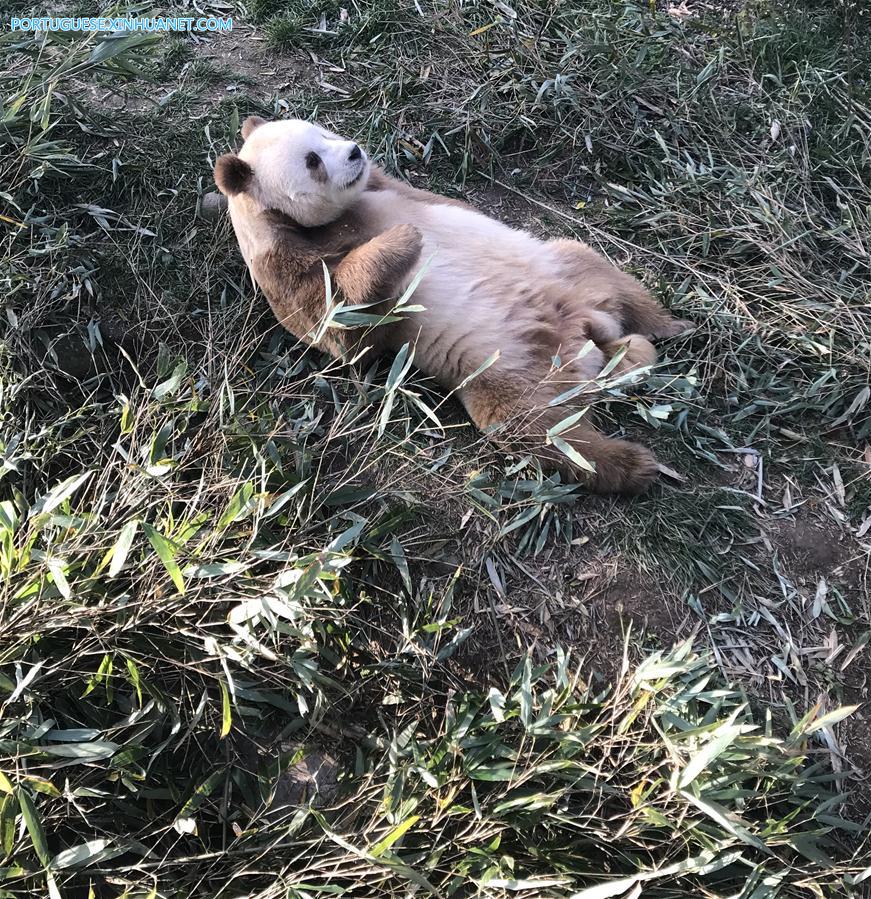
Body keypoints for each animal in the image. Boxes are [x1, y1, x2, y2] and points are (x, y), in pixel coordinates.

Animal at [214, 116, 692, 494]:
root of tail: (586, 339)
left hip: (563, 270)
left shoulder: (389, 187)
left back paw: (672, 327)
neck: (317, 223)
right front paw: (405, 240)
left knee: (608, 277)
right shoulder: (283, 261)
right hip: (507, 369)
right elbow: (342, 326)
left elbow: (443, 201)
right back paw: (633, 463)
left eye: (323, 131)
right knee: (540, 429)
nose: (354, 151)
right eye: (312, 160)